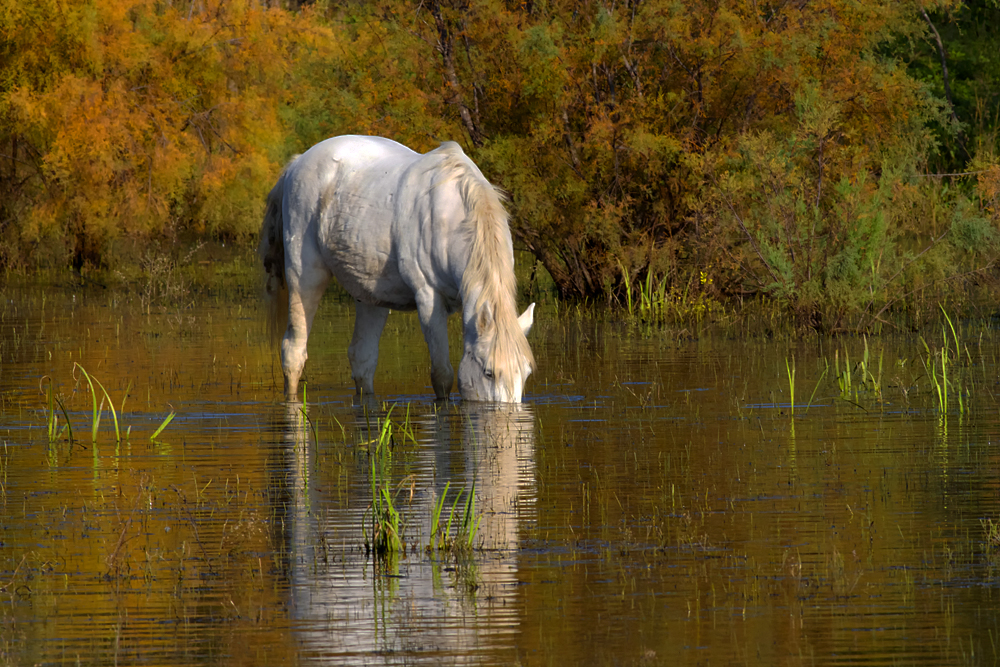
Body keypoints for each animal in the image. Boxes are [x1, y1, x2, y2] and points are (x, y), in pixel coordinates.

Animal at [262, 137, 536, 402]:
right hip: (304, 276)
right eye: (488, 372)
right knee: (294, 352)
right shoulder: (429, 300)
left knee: (362, 359)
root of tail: (298, 163)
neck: (451, 219)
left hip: (369, 295)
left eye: (525, 373)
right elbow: (442, 376)